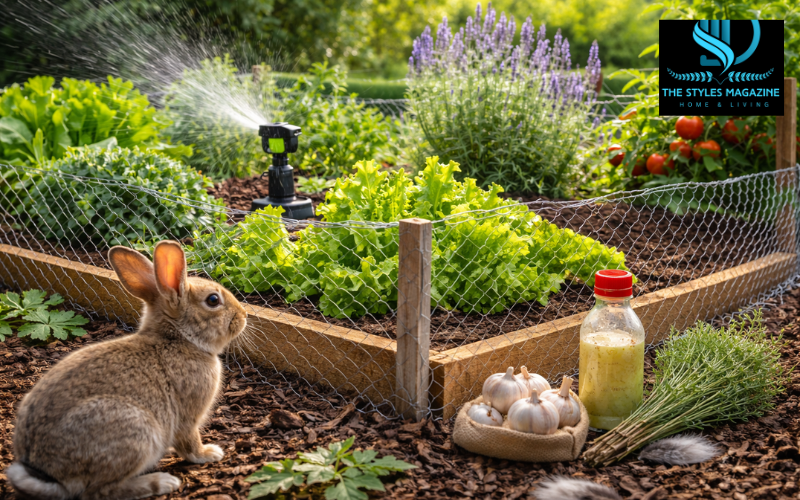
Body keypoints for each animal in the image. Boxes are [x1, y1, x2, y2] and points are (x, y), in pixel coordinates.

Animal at [7, 240, 248, 500]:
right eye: (213, 300)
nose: (244, 316)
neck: (178, 338)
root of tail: (49, 473)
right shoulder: (187, 416)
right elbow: (189, 442)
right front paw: (209, 454)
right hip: (135, 431)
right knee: (99, 491)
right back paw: (162, 482)